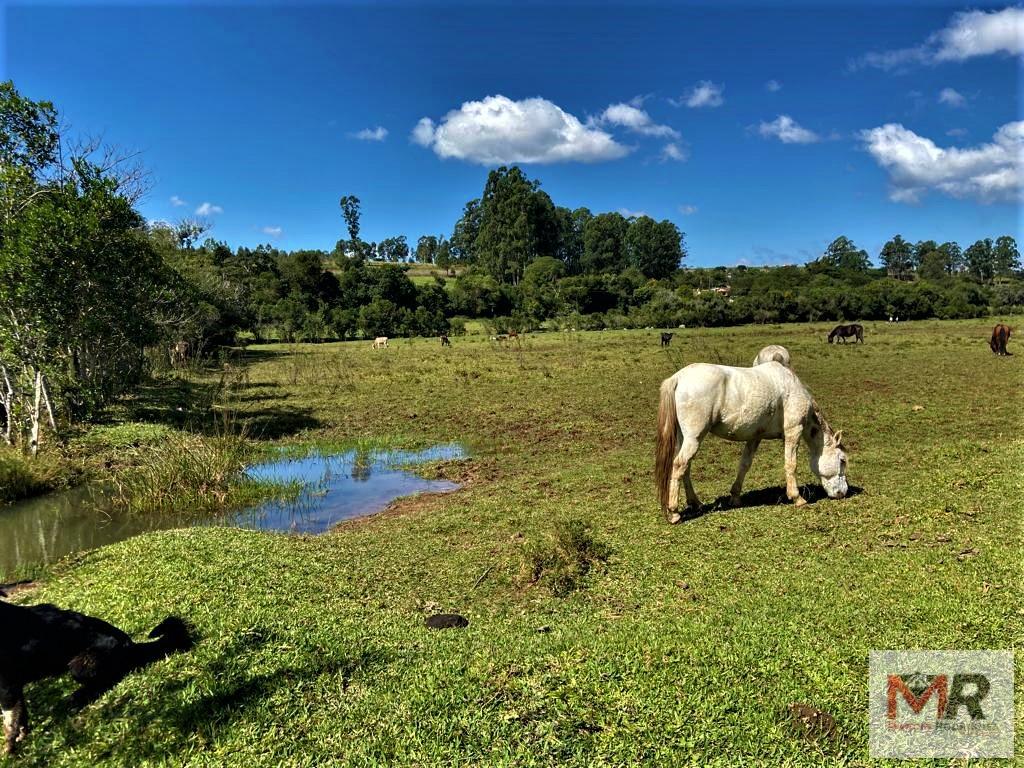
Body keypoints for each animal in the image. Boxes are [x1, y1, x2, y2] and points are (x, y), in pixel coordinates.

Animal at [0, 598, 192, 753]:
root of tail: (131, 645)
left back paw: (77, 698)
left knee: (108, 679)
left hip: (79, 666)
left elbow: (10, 721)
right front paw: (21, 736)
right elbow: (20, 715)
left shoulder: (7, 688)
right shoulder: (14, 687)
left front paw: (10, 748)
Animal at [655, 364, 847, 528]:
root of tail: (678, 378)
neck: (792, 387)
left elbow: (744, 465)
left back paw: (695, 503)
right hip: (694, 438)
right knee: (680, 465)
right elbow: (791, 465)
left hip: (685, 438)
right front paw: (797, 498)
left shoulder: (755, 437)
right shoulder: (794, 431)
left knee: (684, 468)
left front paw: (735, 497)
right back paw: (674, 513)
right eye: (842, 460)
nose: (843, 493)